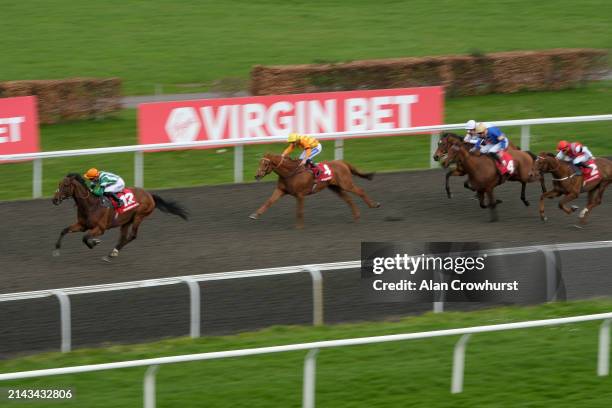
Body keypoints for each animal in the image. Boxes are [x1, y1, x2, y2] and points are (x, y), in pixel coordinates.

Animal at [51, 173, 188, 262]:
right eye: (59, 184)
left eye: (65, 185)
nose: (54, 200)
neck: (91, 205)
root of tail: (149, 195)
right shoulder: (82, 225)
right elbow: (64, 230)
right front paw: (56, 250)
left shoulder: (100, 228)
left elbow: (85, 238)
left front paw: (94, 242)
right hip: (126, 221)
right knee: (123, 237)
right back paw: (113, 252)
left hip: (139, 216)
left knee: (132, 235)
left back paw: (112, 252)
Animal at [249, 154, 378, 230]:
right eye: (259, 163)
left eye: (266, 164)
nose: (257, 175)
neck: (290, 173)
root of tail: (342, 162)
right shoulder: (280, 190)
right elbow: (269, 202)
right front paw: (255, 215)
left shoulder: (300, 195)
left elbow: (299, 211)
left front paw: (299, 227)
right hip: (335, 187)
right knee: (348, 199)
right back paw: (356, 216)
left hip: (346, 184)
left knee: (360, 191)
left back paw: (374, 204)